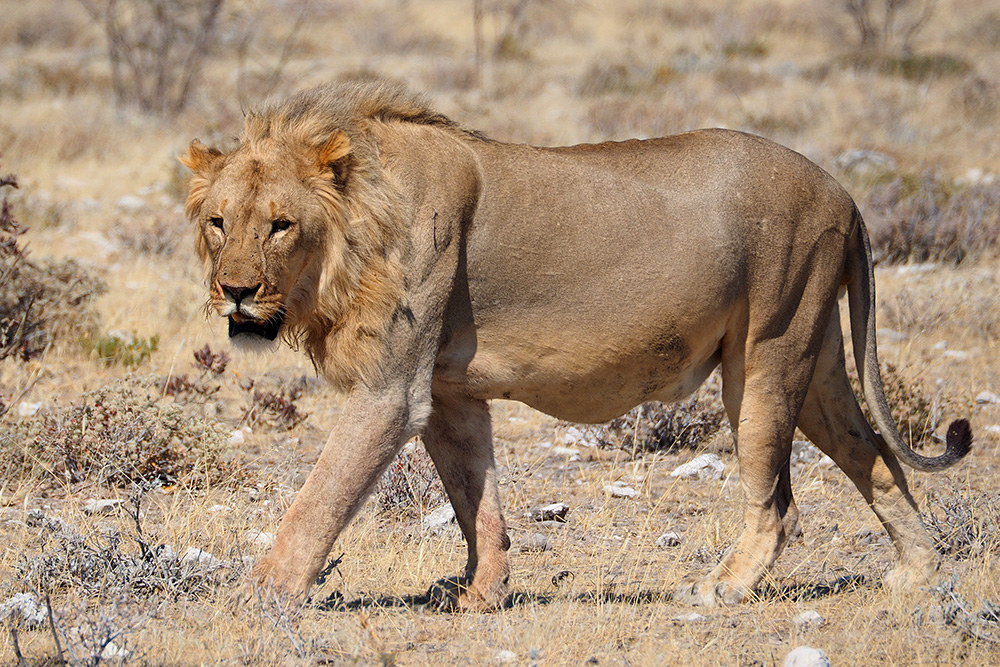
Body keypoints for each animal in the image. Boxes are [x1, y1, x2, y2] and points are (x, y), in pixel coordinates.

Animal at [180, 79, 971, 609]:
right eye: (219, 221)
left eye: (282, 225)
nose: (236, 290)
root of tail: (845, 193)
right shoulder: (448, 392)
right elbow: (477, 499)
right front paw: (482, 593)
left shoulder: (392, 391)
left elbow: (319, 498)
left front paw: (261, 593)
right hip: (819, 358)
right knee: (875, 459)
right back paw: (916, 576)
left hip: (769, 351)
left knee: (780, 504)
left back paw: (717, 589)